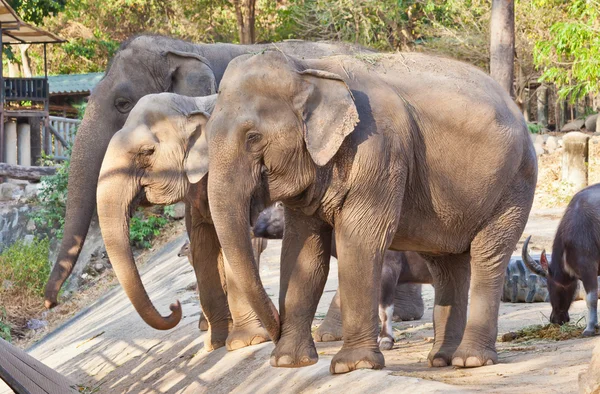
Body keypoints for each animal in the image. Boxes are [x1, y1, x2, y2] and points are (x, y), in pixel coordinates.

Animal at [44, 34, 372, 350]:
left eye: (122, 103)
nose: (173, 307)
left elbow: (237, 239)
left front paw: (245, 341)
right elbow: (201, 241)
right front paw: (214, 341)